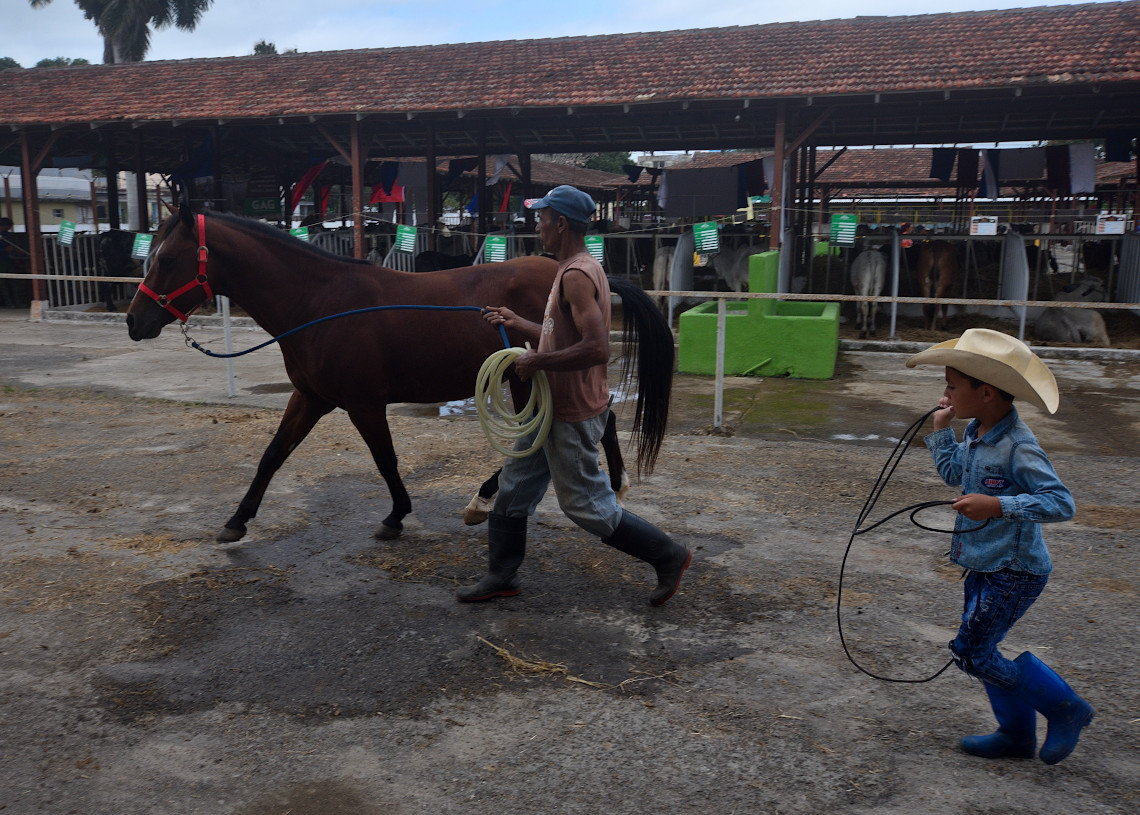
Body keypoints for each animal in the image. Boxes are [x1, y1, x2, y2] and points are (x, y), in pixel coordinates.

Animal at [128, 202, 670, 544]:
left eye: (167, 258)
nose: (135, 321)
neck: (320, 305)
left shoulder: (363, 403)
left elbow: (386, 460)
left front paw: (395, 516)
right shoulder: (310, 398)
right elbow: (272, 456)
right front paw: (237, 520)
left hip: (527, 377)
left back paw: (490, 497)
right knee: (600, 420)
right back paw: (607, 482)